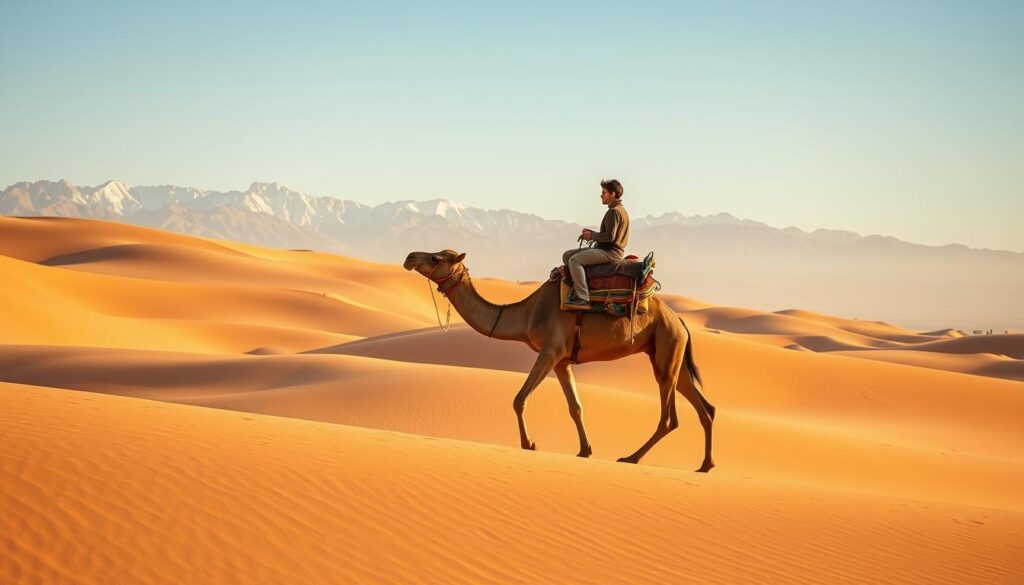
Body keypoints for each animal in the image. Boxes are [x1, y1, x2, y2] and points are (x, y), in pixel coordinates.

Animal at [404, 249, 716, 472]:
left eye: (435, 257)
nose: (409, 257)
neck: (526, 314)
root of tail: (680, 321)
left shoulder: (549, 351)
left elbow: (519, 398)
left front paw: (529, 443)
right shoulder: (562, 361)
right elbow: (575, 407)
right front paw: (585, 450)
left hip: (665, 349)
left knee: (669, 418)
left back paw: (630, 458)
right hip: (670, 352)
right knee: (705, 407)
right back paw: (705, 465)